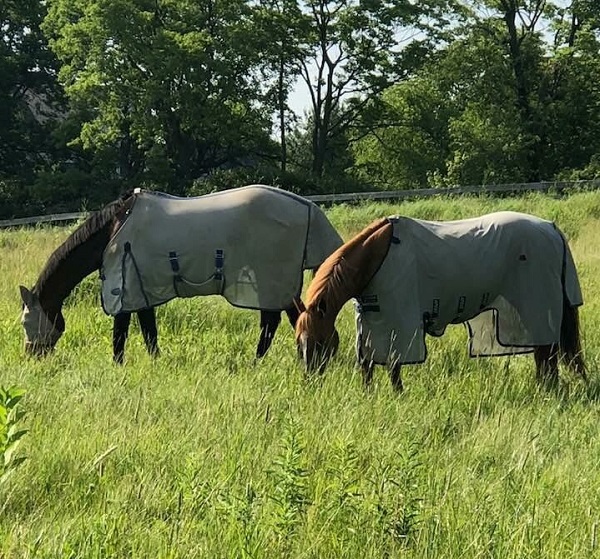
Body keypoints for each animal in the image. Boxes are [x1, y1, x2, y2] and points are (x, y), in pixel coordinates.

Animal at [18, 186, 342, 366]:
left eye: (25, 321)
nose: (31, 355)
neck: (113, 230)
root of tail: (308, 207)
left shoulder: (124, 288)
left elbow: (121, 332)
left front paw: (117, 364)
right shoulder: (141, 288)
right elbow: (148, 330)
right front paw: (154, 361)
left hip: (271, 278)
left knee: (276, 321)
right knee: (285, 319)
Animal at [296, 212, 584, 392]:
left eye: (319, 342)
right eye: (299, 343)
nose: (310, 380)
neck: (377, 258)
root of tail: (551, 228)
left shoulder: (400, 324)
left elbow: (394, 365)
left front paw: (398, 396)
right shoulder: (372, 322)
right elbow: (368, 365)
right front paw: (368, 396)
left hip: (539, 312)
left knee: (546, 357)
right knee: (546, 358)